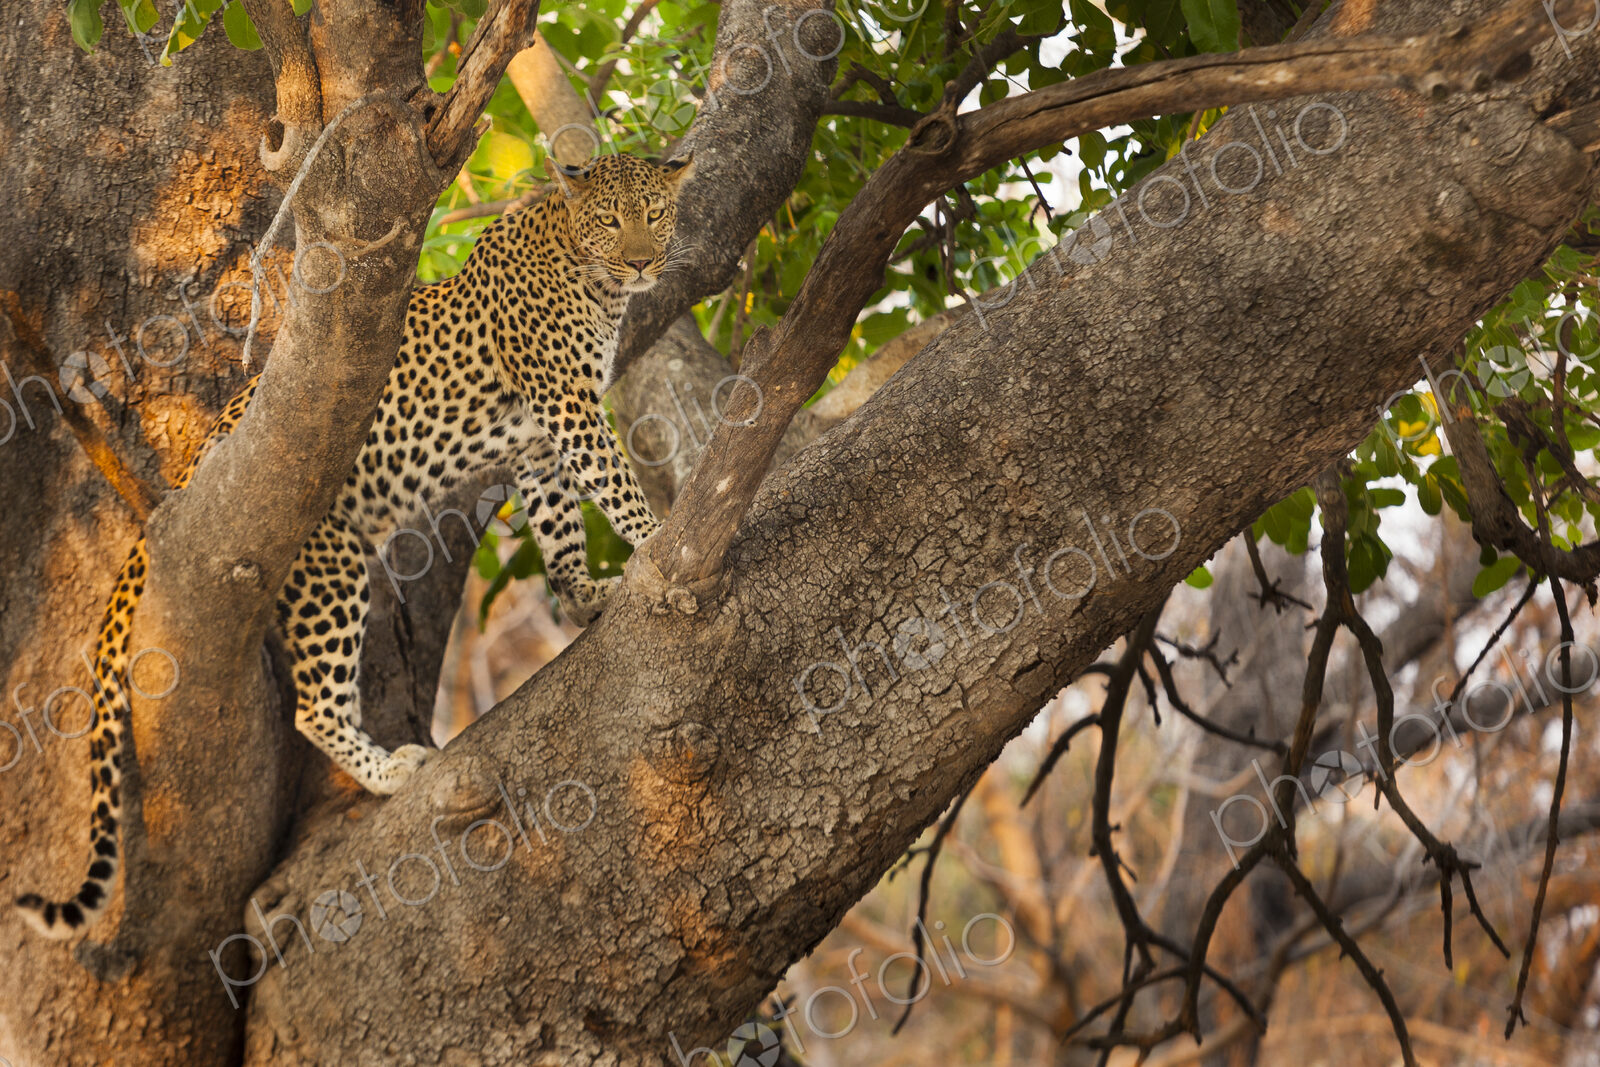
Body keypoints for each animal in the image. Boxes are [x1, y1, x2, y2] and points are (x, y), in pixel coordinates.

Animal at [15, 151, 692, 938]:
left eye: (654, 212)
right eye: (611, 219)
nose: (642, 261)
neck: (592, 277)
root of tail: (183, 485)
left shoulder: (537, 440)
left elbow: (560, 524)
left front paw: (585, 594)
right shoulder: (566, 405)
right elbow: (613, 482)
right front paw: (658, 543)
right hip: (327, 567)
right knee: (314, 708)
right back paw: (390, 771)